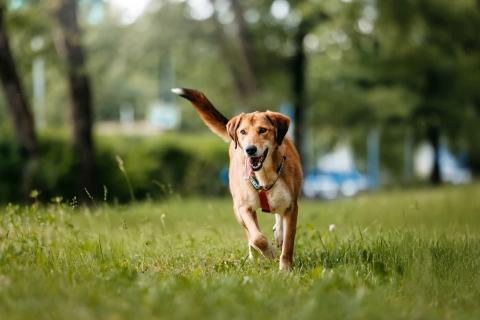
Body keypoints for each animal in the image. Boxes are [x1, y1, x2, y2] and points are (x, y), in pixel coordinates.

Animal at [171, 87, 302, 270]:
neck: (264, 176)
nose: (250, 149)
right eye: (243, 132)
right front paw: (269, 253)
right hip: (237, 210)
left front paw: (285, 269)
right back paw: (255, 256)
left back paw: (278, 234)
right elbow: (257, 238)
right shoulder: (245, 207)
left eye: (263, 130)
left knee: (278, 220)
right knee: (251, 235)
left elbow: (288, 243)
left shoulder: (291, 207)